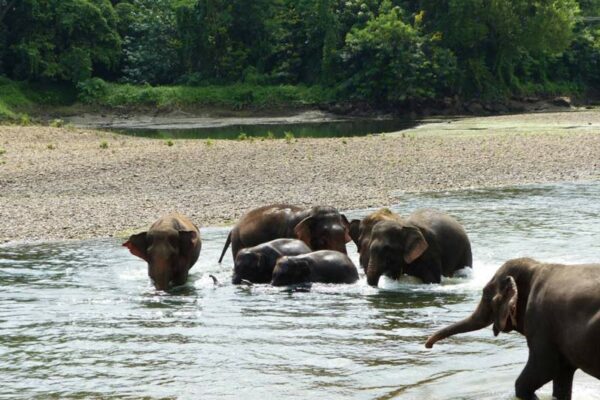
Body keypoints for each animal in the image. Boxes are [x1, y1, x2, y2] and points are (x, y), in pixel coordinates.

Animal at [426, 256, 600, 400]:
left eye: (486, 294)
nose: (428, 345)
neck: (535, 267)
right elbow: (561, 376)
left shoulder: (540, 321)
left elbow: (544, 368)